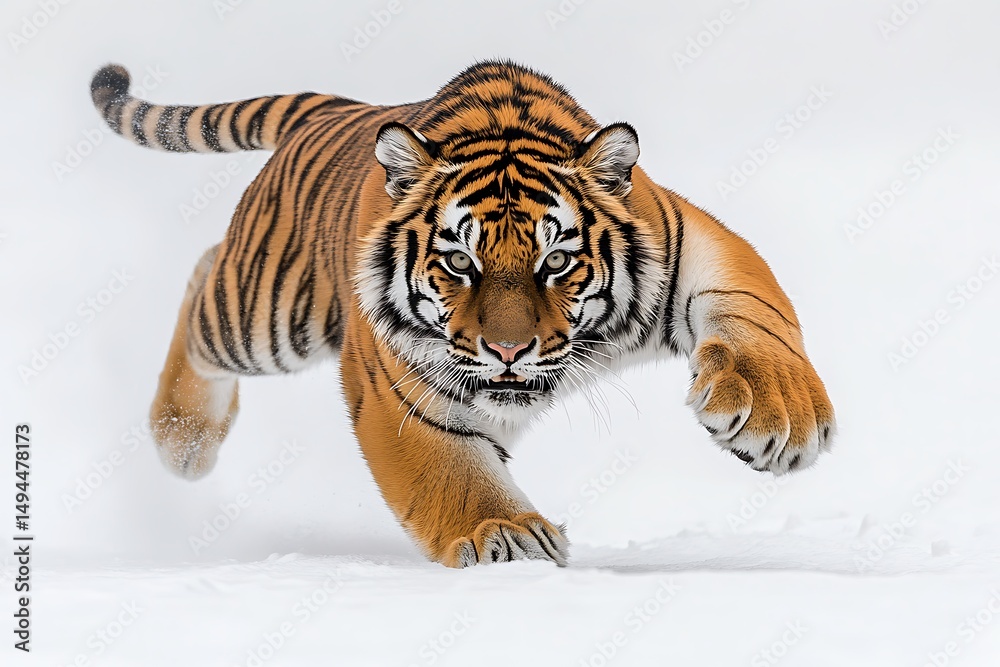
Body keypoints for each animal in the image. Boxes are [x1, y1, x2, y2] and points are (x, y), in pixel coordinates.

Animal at [90, 60, 835, 568]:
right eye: (458, 263)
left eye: (556, 262)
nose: (508, 351)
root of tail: (342, 108)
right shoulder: (397, 389)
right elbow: (450, 470)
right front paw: (504, 535)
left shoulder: (693, 241)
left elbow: (755, 311)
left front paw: (780, 418)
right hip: (265, 315)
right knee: (202, 283)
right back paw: (184, 439)